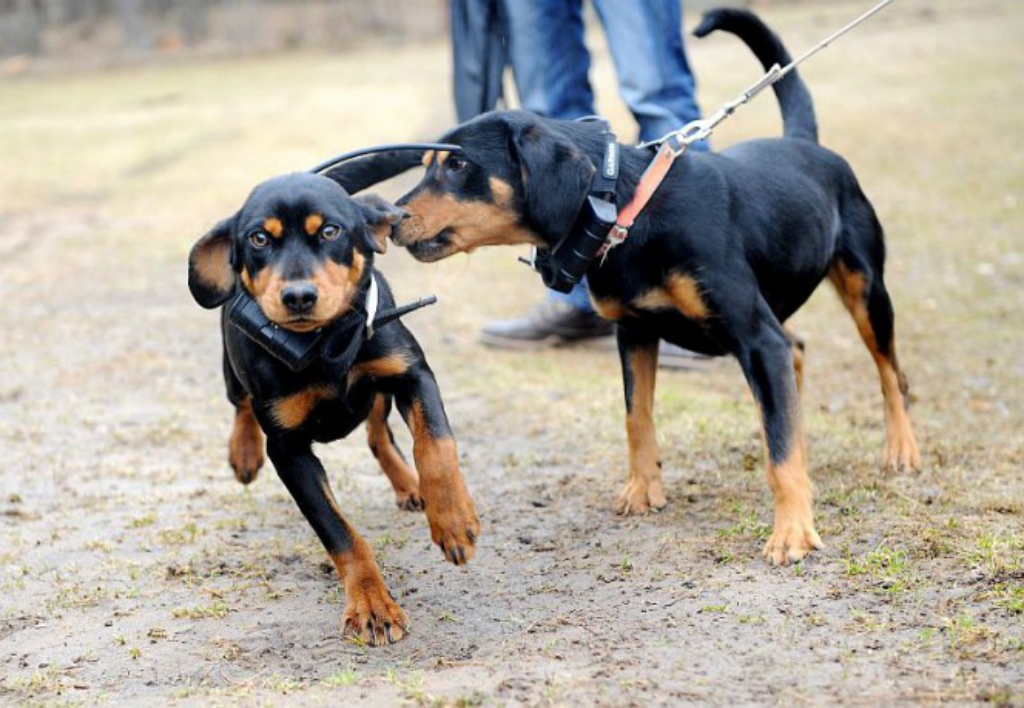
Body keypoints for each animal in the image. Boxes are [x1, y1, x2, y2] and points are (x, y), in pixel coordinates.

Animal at [189, 172, 483, 643]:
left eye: (330, 231)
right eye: (258, 239)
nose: (298, 296)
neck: (325, 342)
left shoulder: (412, 372)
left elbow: (436, 445)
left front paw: (453, 521)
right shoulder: (288, 450)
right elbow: (338, 531)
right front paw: (372, 606)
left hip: (379, 385)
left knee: (379, 434)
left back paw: (411, 486)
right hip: (232, 369)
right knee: (241, 405)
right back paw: (244, 453)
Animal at [382, 8, 921, 565]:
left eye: (458, 165)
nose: (391, 218)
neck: (629, 212)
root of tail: (805, 143)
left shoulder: (756, 336)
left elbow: (781, 451)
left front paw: (792, 530)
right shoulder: (635, 332)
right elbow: (637, 418)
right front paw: (643, 490)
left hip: (866, 290)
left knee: (890, 374)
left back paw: (900, 449)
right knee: (797, 355)